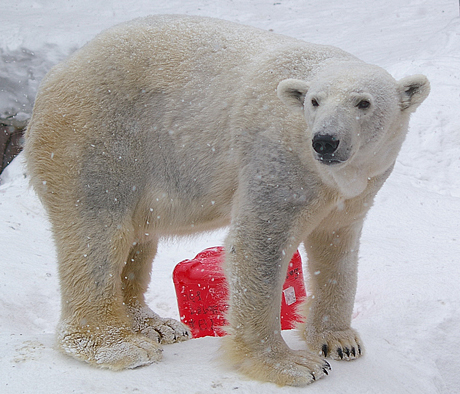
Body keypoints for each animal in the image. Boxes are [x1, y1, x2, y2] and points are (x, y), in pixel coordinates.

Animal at [24, 14, 428, 384]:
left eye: (364, 103)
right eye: (314, 101)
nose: (325, 141)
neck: (325, 172)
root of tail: (54, 76)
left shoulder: (356, 190)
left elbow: (337, 251)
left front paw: (340, 341)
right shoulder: (276, 161)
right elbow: (256, 246)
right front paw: (293, 364)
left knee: (139, 240)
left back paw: (157, 325)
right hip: (98, 141)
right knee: (98, 234)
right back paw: (121, 346)